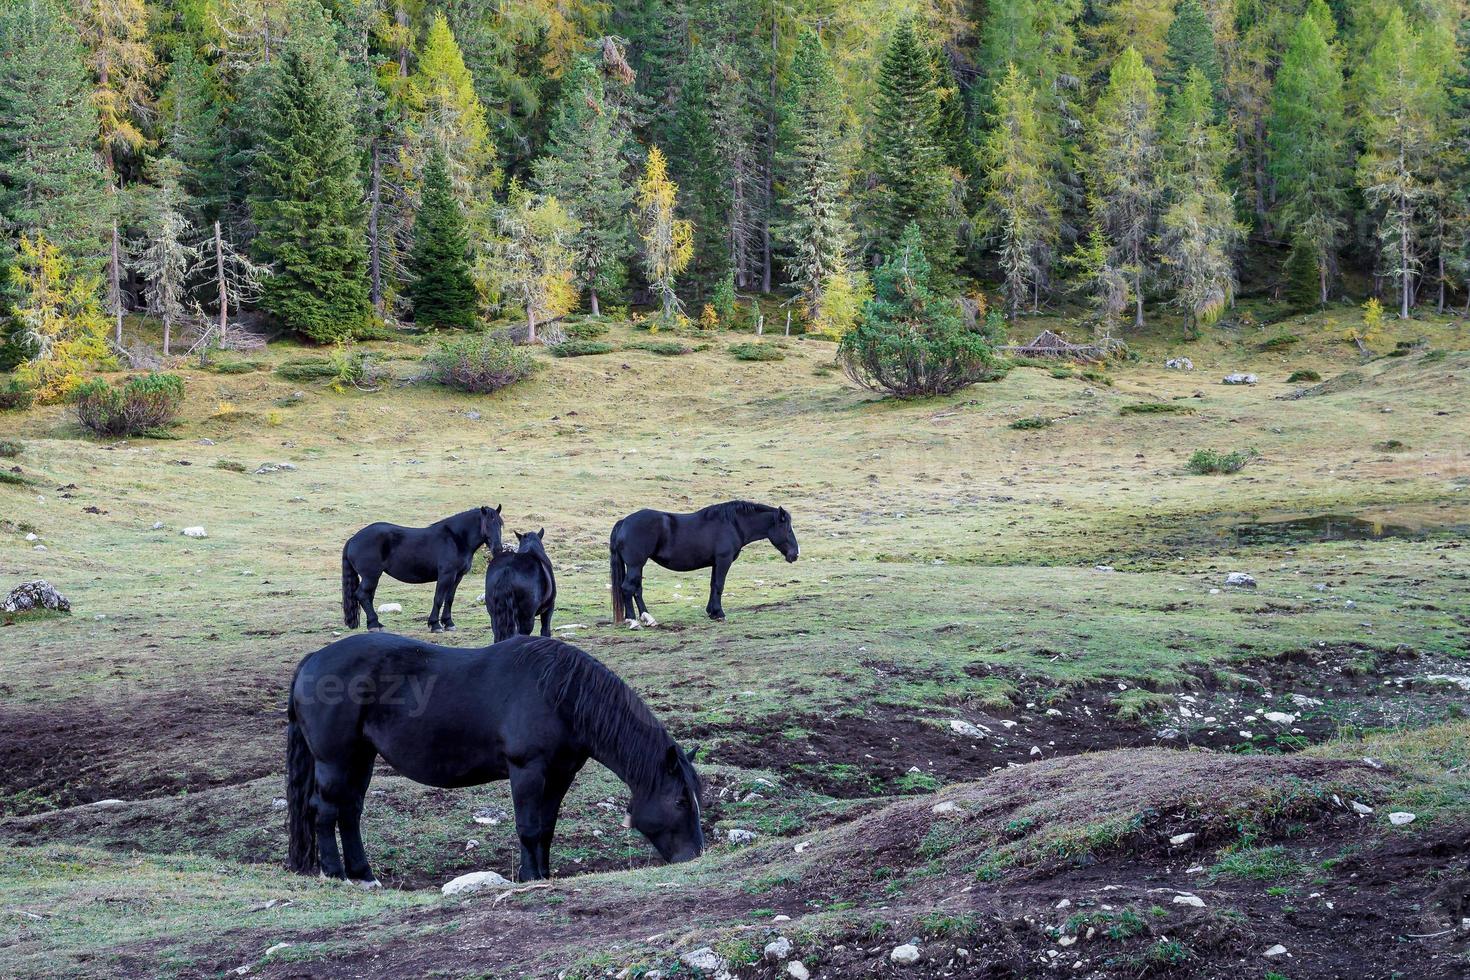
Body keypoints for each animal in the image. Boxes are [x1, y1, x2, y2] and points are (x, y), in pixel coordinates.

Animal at [286, 631, 705, 887]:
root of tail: (313, 659)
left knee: (350, 812)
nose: (695, 856)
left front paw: (541, 874)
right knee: (325, 811)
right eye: (680, 801)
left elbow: (546, 828)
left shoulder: (560, 774)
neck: (560, 694)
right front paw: (531, 877)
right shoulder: (527, 771)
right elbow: (529, 827)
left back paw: (363, 874)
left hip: (361, 758)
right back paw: (335, 873)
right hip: (334, 760)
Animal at [339, 505, 505, 637]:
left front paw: (449, 623)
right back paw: (374, 625)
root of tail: (353, 539)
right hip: (371, 576)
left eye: (500, 524)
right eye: (486, 525)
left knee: (367, 597)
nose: (498, 549)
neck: (455, 538)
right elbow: (438, 599)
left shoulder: (457, 577)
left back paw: (376, 625)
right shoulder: (446, 575)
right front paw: (435, 625)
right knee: (362, 595)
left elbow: (449, 599)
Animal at [608, 499, 799, 628]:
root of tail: (623, 522)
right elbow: (719, 585)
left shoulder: (716, 563)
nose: (795, 554)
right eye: (787, 529)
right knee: (628, 588)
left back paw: (648, 618)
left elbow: (713, 585)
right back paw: (633, 621)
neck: (732, 524)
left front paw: (712, 612)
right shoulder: (723, 560)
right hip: (635, 565)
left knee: (637, 590)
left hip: (637, 566)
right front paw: (719, 613)